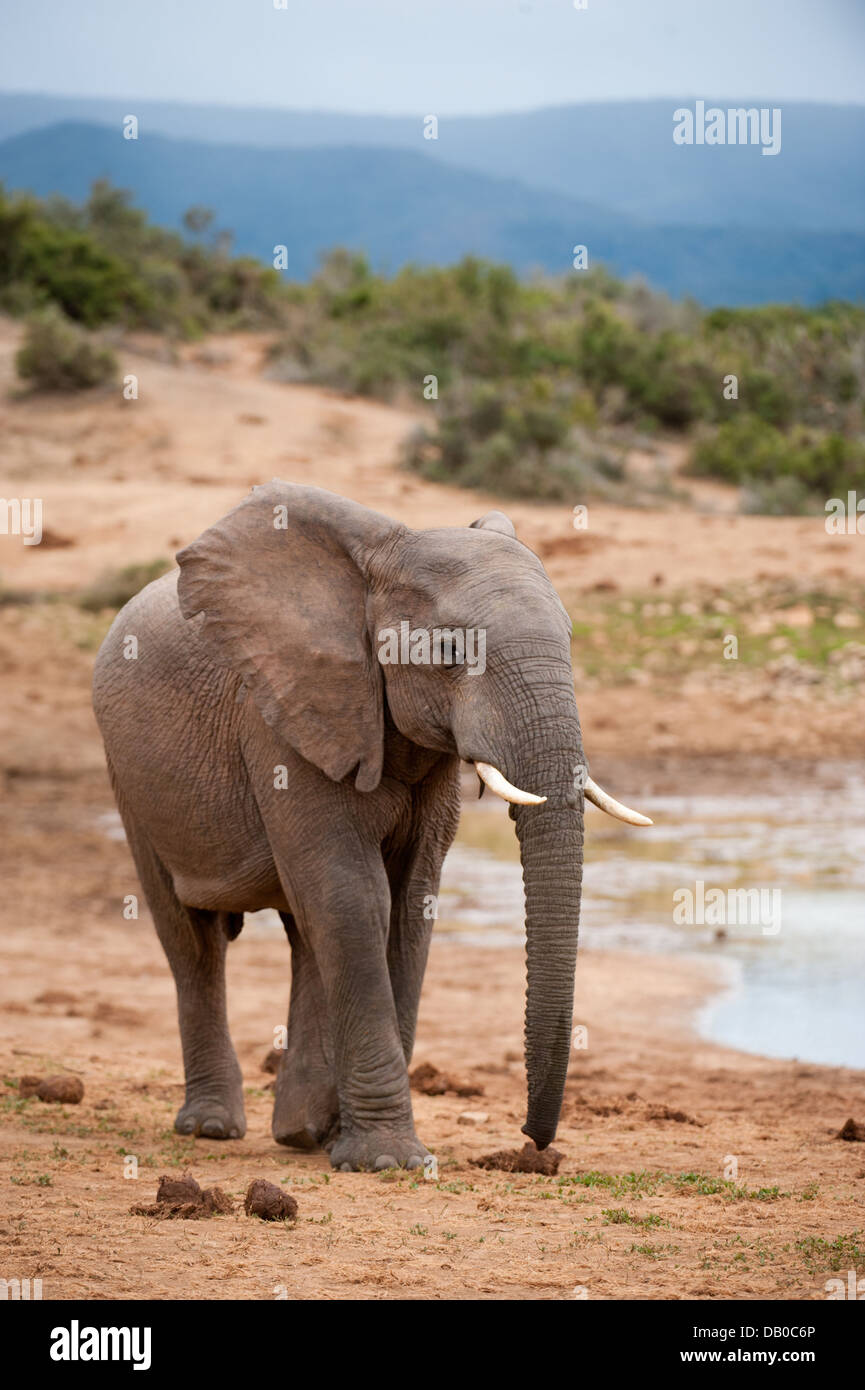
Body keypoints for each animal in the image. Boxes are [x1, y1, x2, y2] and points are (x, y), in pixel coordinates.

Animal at [94, 483, 650, 1167]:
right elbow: (352, 897)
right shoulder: (283, 720)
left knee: (303, 933)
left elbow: (409, 902)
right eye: (449, 653)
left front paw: (352, 1145)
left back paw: (302, 1132)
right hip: (130, 779)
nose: (533, 1143)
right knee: (192, 940)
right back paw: (212, 1128)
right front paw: (388, 1161)